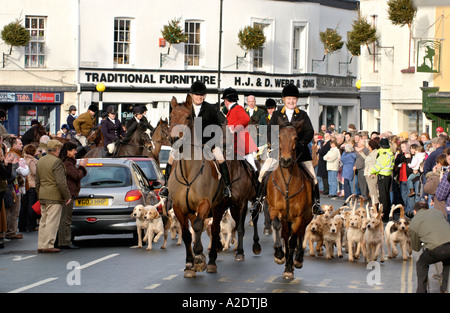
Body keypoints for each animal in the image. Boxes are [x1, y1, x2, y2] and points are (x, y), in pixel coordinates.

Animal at [167, 94, 227, 276]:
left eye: (188, 117)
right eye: (170, 116)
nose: (174, 139)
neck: (188, 171)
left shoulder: (205, 203)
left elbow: (199, 226)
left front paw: (199, 257)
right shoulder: (179, 207)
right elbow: (187, 233)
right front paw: (189, 263)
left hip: (219, 205)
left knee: (214, 229)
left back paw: (212, 261)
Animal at [266, 119, 314, 278]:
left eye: (296, 138)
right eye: (279, 137)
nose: (285, 160)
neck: (287, 182)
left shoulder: (298, 217)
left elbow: (294, 240)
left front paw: (289, 266)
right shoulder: (275, 210)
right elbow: (277, 227)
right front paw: (279, 255)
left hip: (306, 217)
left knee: (300, 234)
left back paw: (297, 260)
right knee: (286, 235)